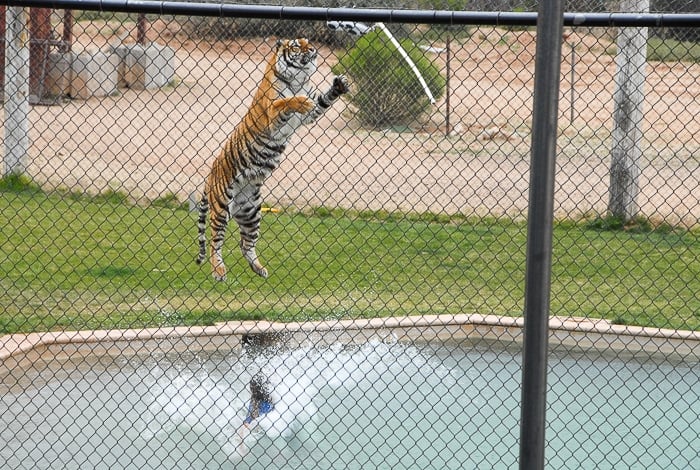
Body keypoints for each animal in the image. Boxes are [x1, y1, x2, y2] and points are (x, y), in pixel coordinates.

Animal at [196, 38, 348, 280]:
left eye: (307, 42)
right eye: (296, 46)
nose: (312, 49)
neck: (298, 78)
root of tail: (210, 176)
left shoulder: (311, 114)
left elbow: (323, 100)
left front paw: (339, 86)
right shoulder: (272, 115)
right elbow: (286, 102)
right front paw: (300, 100)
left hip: (251, 213)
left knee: (245, 244)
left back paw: (259, 269)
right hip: (221, 206)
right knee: (214, 242)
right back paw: (218, 271)